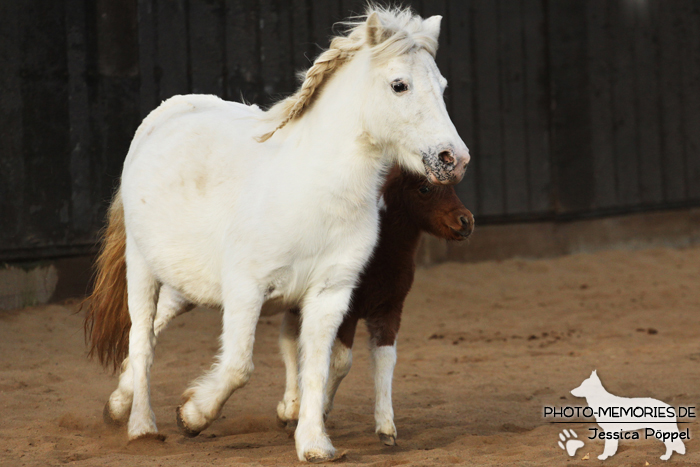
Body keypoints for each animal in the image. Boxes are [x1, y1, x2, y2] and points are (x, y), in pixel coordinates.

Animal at [87, 5, 468, 462]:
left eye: (442, 86)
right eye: (399, 85)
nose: (454, 159)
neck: (313, 190)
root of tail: (164, 113)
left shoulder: (331, 296)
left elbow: (318, 367)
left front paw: (314, 443)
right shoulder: (246, 290)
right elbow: (238, 366)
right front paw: (192, 415)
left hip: (185, 285)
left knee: (153, 330)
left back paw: (116, 406)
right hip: (142, 268)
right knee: (142, 337)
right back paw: (142, 426)